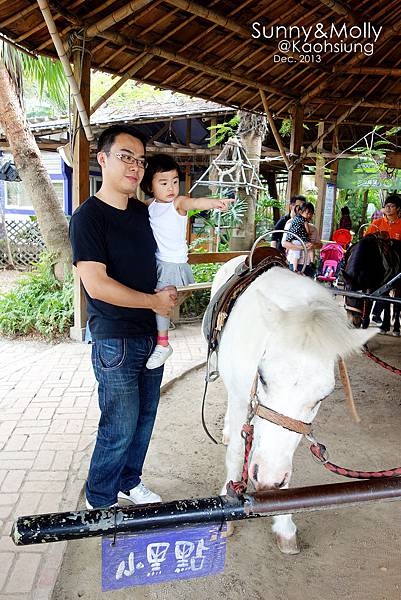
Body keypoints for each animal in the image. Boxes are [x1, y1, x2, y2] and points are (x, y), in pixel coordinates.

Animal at [206, 256, 376, 552]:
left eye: (323, 396)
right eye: (262, 376)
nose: (266, 481)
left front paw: (283, 523)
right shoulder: (242, 400)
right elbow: (237, 453)